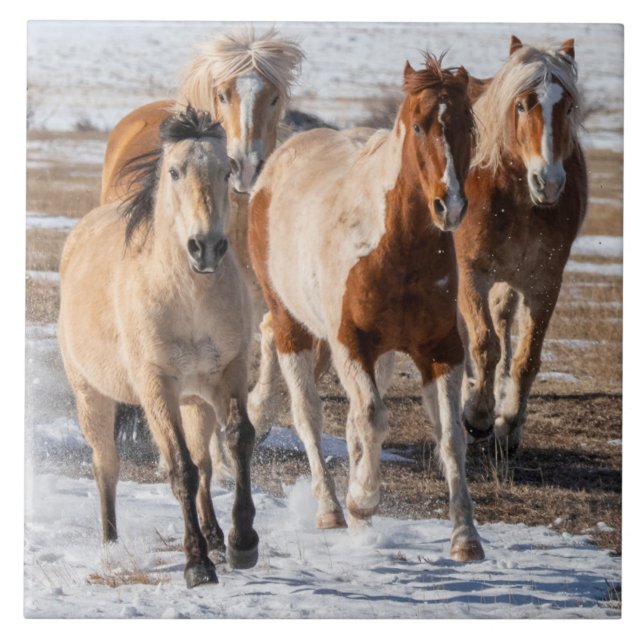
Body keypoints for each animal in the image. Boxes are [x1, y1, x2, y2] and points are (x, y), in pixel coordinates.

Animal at [58, 107, 259, 588]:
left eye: (226, 171)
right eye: (174, 171)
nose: (206, 248)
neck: (190, 298)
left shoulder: (229, 373)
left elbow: (238, 440)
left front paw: (242, 544)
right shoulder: (156, 388)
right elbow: (179, 469)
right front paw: (197, 565)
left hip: (195, 400)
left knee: (205, 462)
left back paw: (217, 536)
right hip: (92, 397)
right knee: (106, 466)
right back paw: (111, 545)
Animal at [247, 54, 484, 562]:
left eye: (466, 126)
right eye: (418, 125)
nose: (450, 205)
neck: (397, 249)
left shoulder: (441, 350)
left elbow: (450, 437)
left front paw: (466, 537)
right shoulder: (351, 344)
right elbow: (373, 418)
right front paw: (362, 499)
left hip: (381, 354)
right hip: (293, 325)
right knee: (308, 412)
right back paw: (331, 508)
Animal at [454, 36, 587, 453]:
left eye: (568, 107)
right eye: (522, 104)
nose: (549, 182)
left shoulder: (543, 282)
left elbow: (526, 357)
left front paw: (509, 422)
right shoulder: (471, 273)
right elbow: (484, 344)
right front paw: (477, 415)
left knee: (503, 323)